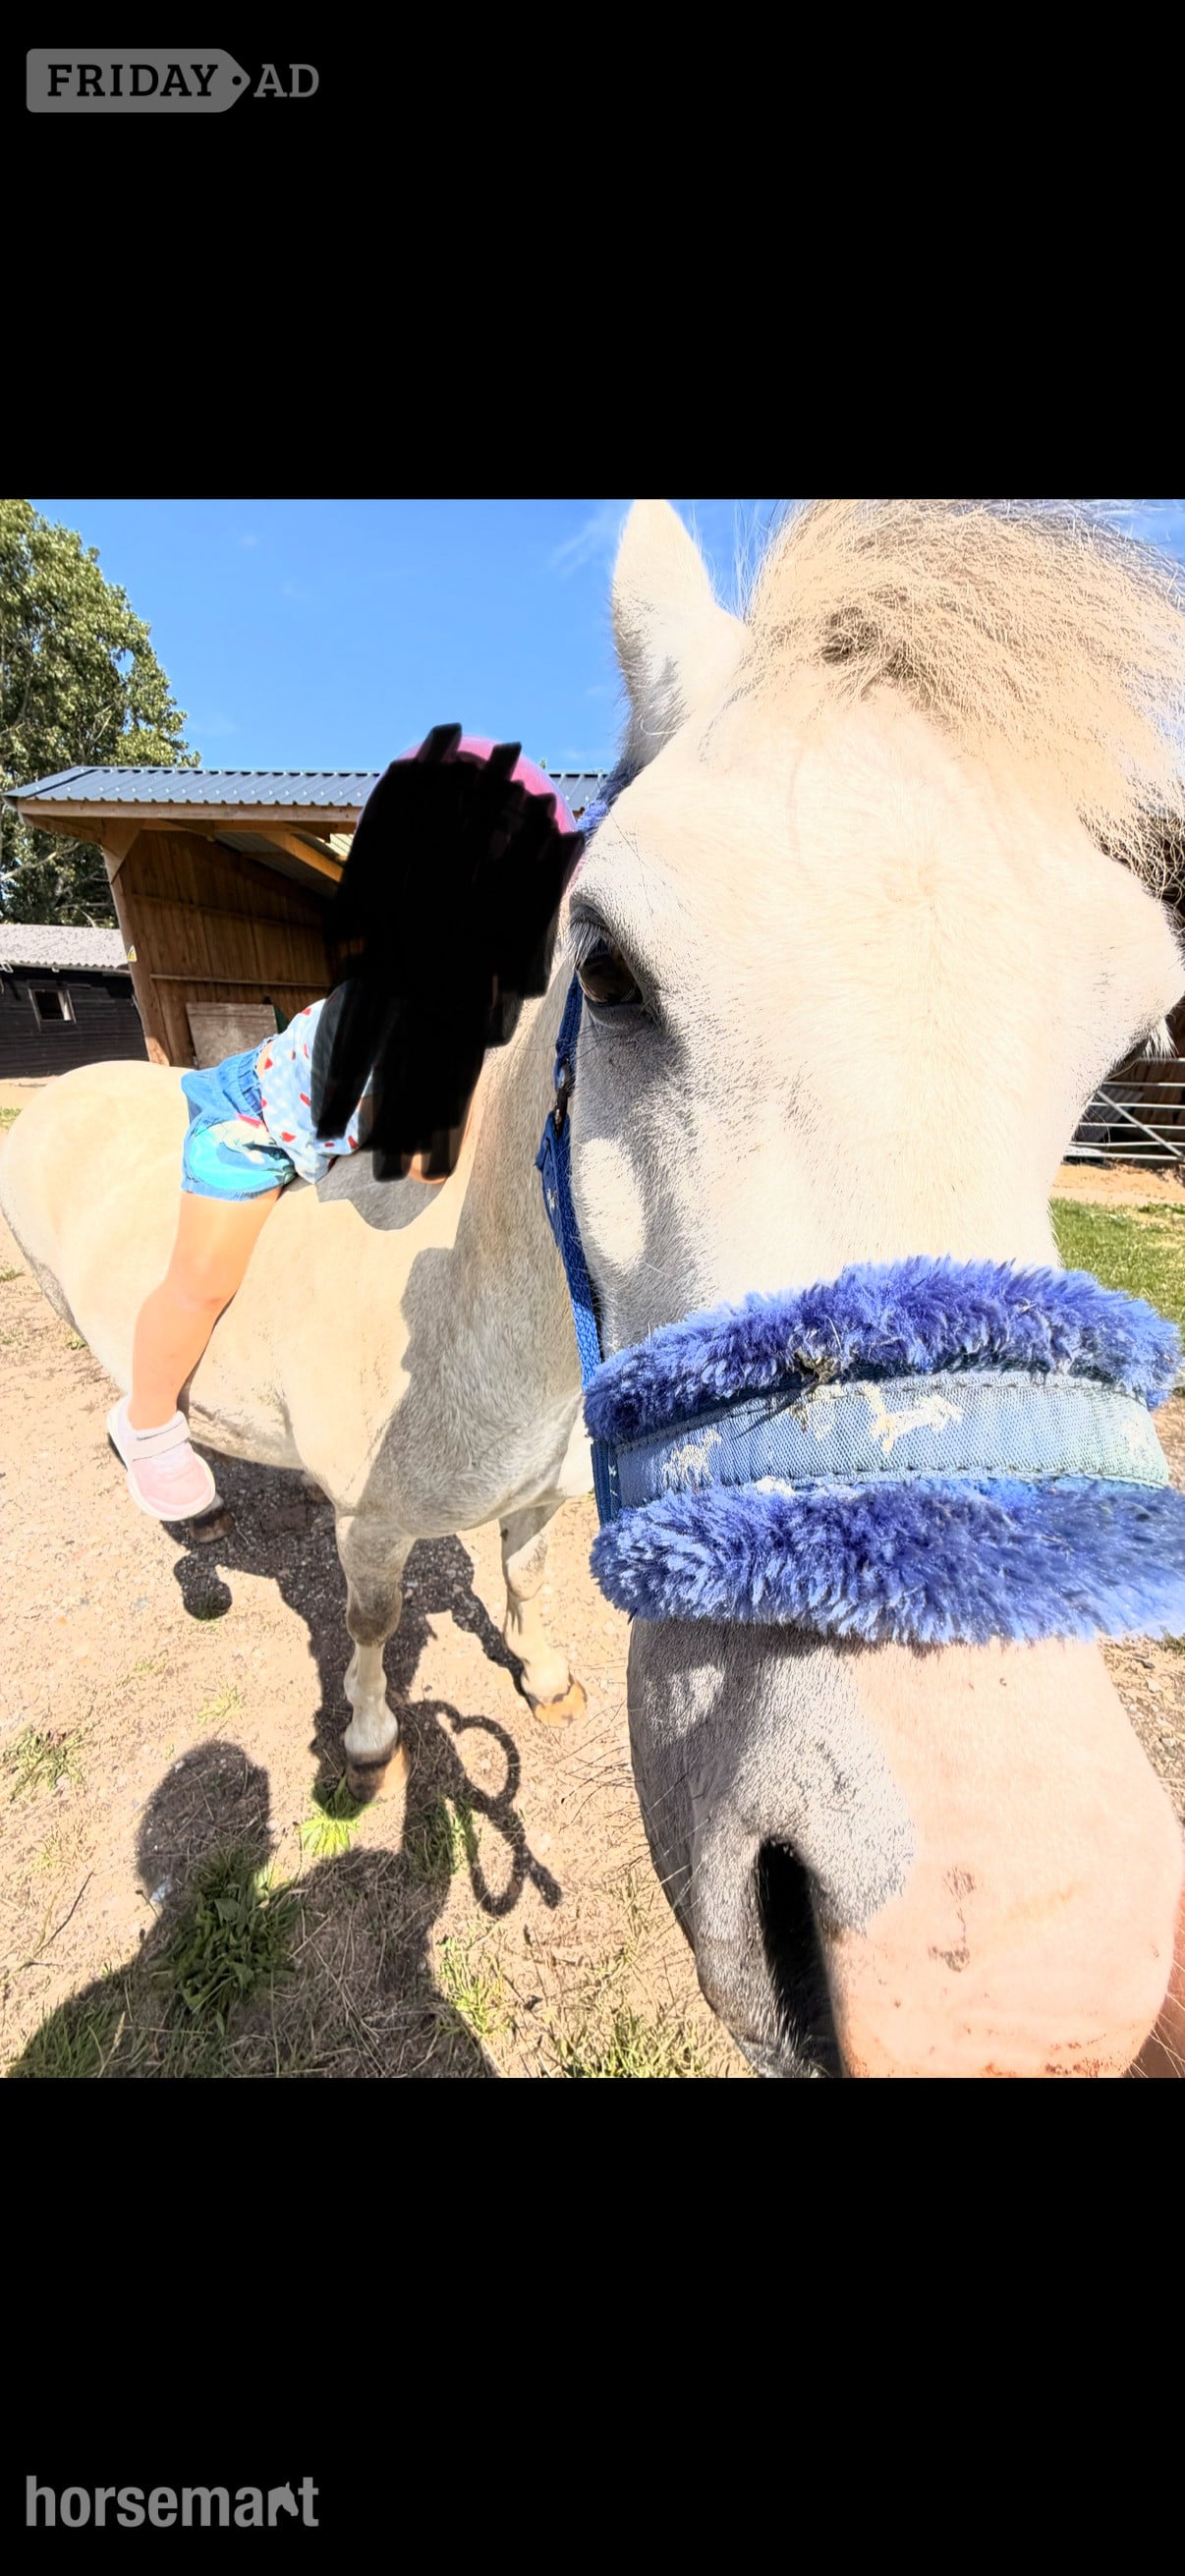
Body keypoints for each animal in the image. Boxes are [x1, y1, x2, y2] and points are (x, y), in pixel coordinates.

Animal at [5, 495, 1185, 2078]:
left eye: (1132, 1029)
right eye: (611, 971)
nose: (1008, 1980)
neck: (483, 1331)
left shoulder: (530, 1496)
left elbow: (517, 1577)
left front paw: (544, 1671)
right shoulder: (372, 1525)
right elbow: (369, 1627)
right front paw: (367, 1745)